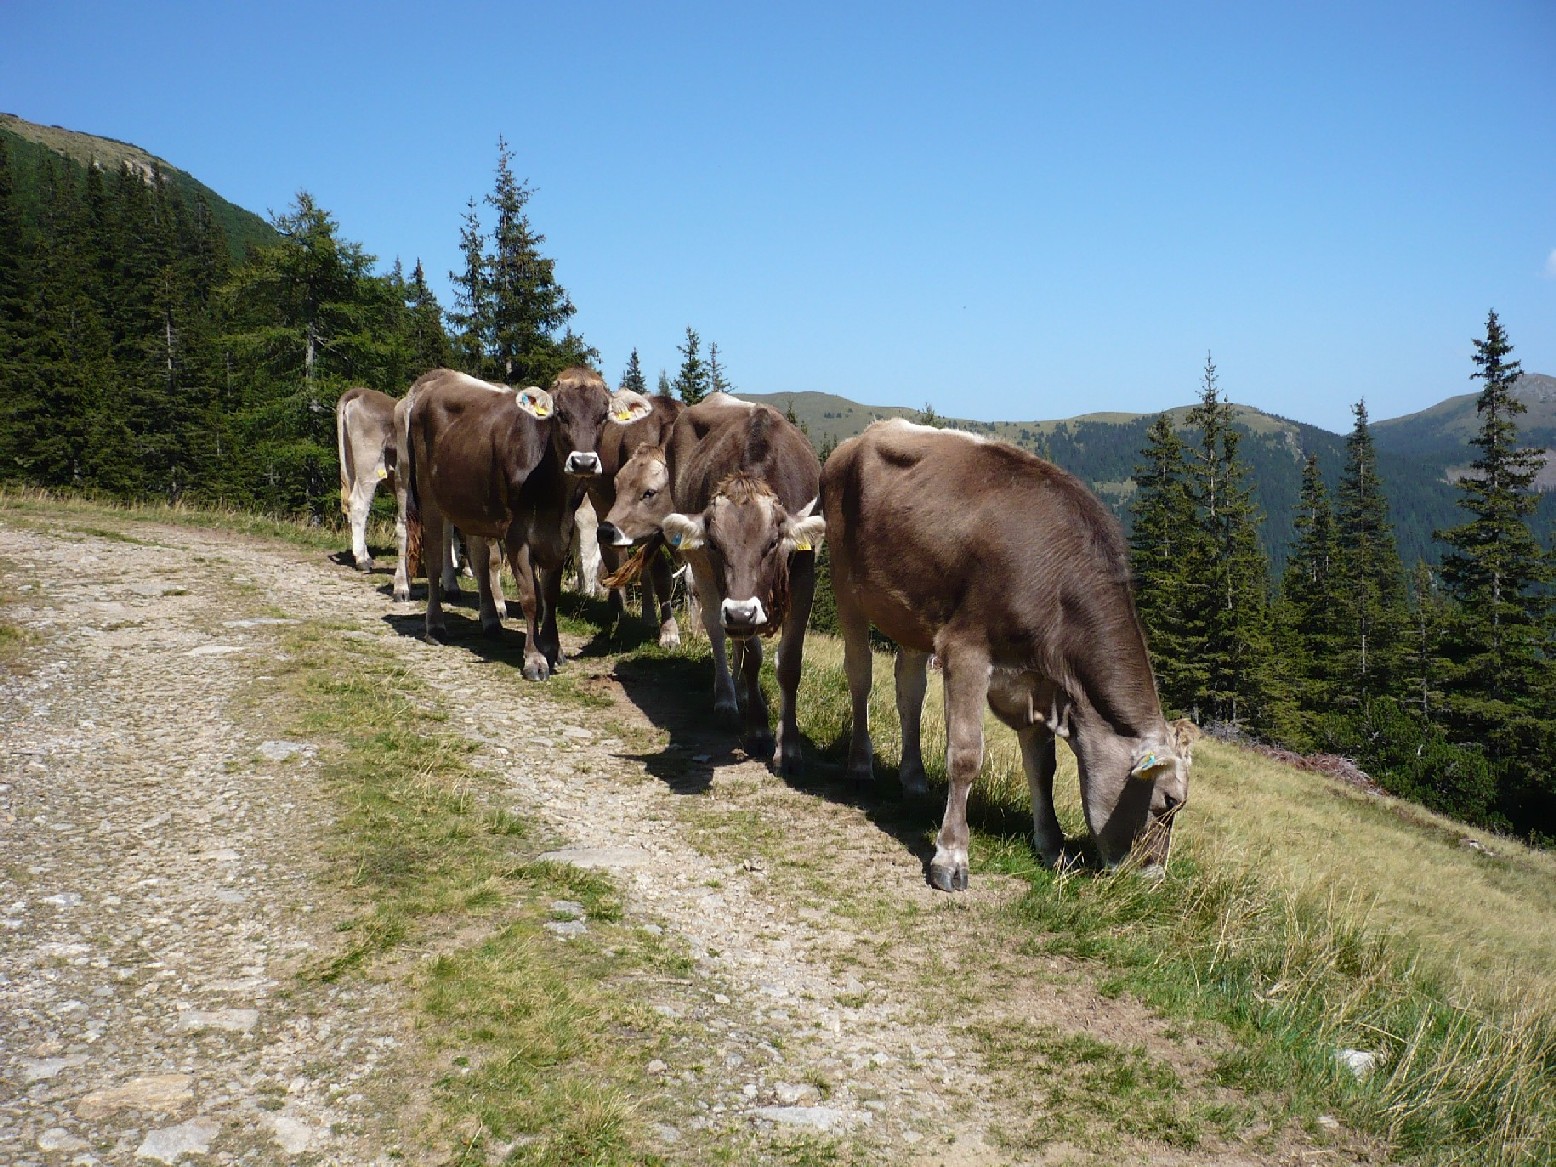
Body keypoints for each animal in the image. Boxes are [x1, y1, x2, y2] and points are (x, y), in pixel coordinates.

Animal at [585, 393, 684, 650]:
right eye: (616, 486)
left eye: (649, 492)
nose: (605, 531)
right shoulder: (652, 531)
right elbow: (662, 577)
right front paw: (669, 632)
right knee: (616, 561)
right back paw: (620, 610)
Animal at [821, 420, 1195, 896]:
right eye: (1168, 801)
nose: (1153, 880)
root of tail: (866, 433)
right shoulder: (966, 650)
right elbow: (965, 756)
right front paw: (951, 857)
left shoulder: (1038, 682)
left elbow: (1043, 767)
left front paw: (1053, 848)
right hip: (844, 583)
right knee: (860, 675)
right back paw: (860, 764)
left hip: (912, 614)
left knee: (909, 690)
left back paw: (914, 779)